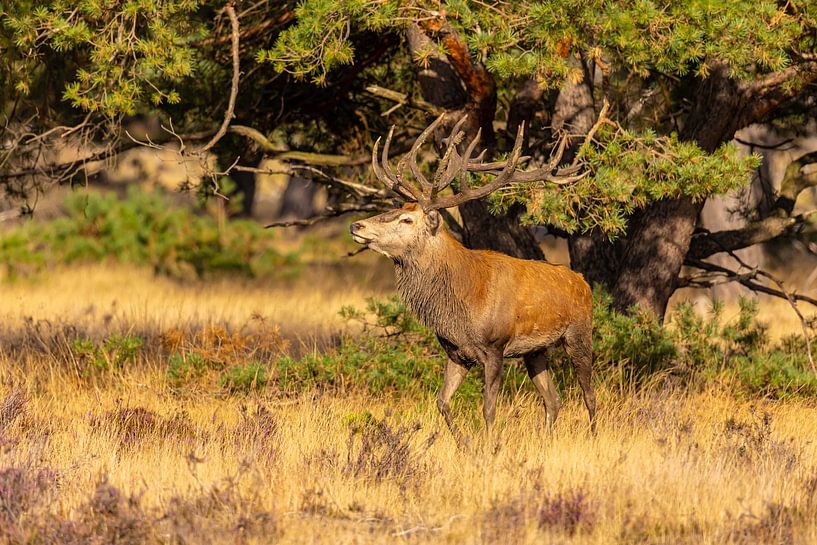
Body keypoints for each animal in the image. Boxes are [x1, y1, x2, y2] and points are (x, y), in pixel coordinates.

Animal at [349, 114, 600, 442]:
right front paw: (465, 444)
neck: (461, 306)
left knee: (590, 397)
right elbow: (441, 402)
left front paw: (490, 446)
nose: (357, 226)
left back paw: (594, 438)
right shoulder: (456, 352)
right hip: (535, 351)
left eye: (407, 219)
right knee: (553, 400)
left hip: (579, 333)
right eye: (396, 208)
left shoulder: (495, 347)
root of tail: (583, 281)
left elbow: (488, 409)